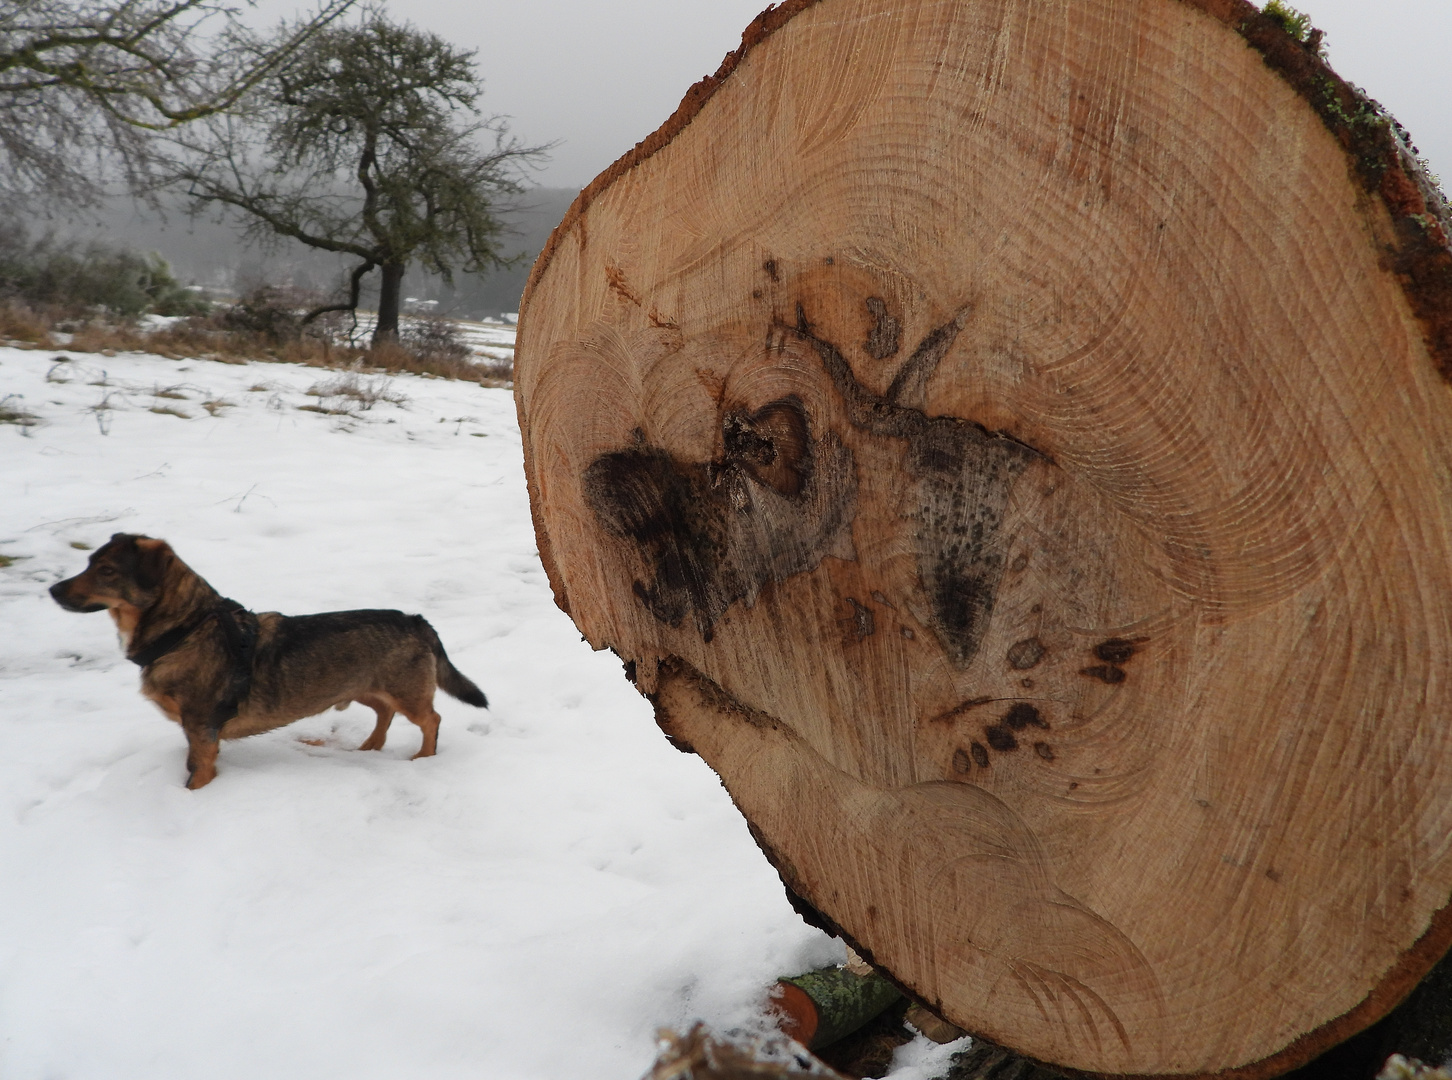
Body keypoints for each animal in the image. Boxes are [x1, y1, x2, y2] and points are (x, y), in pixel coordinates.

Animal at [49, 537, 487, 789]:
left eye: (107, 571)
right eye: (89, 562)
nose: (53, 590)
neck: (187, 628)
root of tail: (416, 620)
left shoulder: (202, 729)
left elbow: (199, 772)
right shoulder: (197, 730)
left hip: (406, 692)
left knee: (431, 719)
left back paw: (424, 758)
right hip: (361, 685)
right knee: (384, 712)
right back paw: (369, 746)